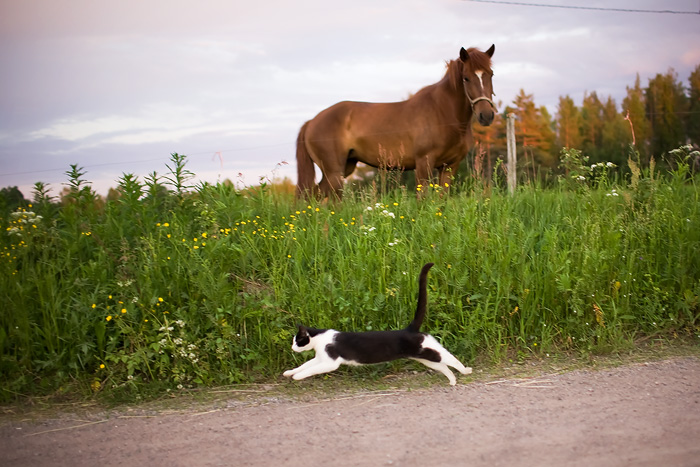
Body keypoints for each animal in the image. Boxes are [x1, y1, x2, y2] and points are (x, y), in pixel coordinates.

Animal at [282, 264, 474, 388]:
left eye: (297, 341)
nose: (292, 348)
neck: (319, 339)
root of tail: (410, 329)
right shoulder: (320, 358)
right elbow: (306, 365)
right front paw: (290, 372)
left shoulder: (330, 362)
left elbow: (310, 370)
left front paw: (297, 376)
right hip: (424, 358)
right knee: (443, 366)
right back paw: (453, 380)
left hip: (428, 351)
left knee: (449, 358)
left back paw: (465, 371)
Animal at [296, 46, 498, 200]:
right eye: (466, 77)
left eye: (491, 74)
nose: (486, 115)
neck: (442, 112)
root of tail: (312, 122)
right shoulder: (423, 163)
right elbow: (423, 199)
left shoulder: (449, 166)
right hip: (334, 172)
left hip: (344, 167)